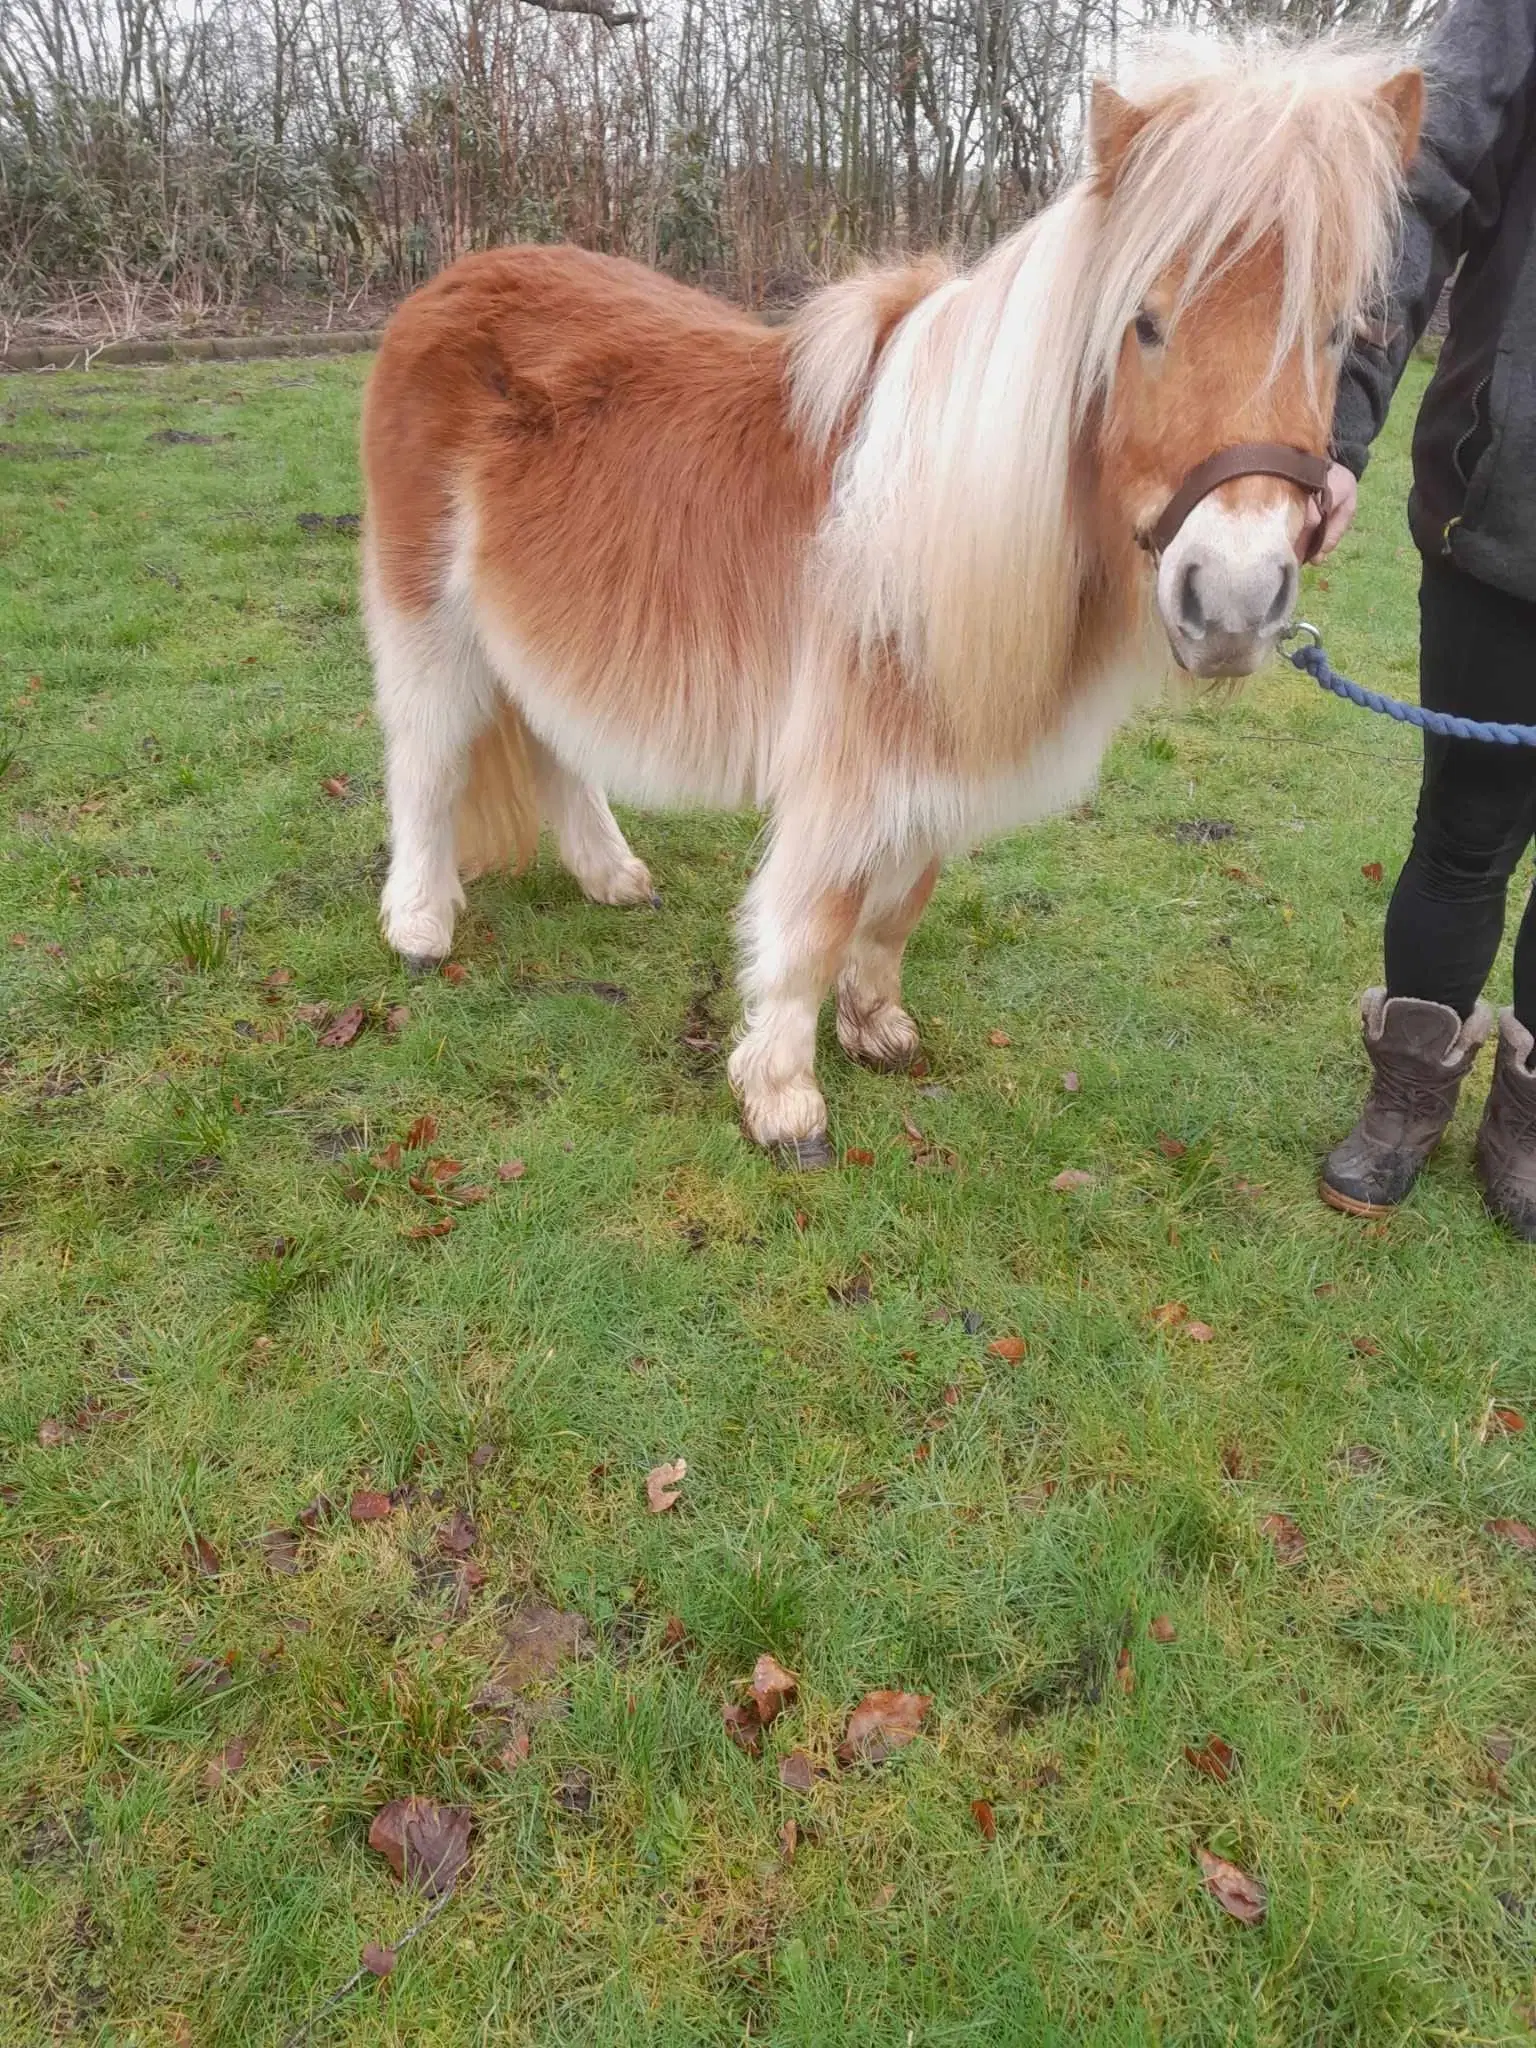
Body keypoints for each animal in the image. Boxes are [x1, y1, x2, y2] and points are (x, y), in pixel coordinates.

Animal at [360, 39, 1417, 1163]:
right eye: (1144, 323)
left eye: (1338, 332)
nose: (1234, 596)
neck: (938, 509)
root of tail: (450, 282)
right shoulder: (849, 753)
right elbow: (817, 913)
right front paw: (782, 1097)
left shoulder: (937, 742)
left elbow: (902, 896)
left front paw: (876, 1026)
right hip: (428, 613)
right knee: (427, 758)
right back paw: (419, 924)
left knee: (551, 736)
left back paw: (612, 873)